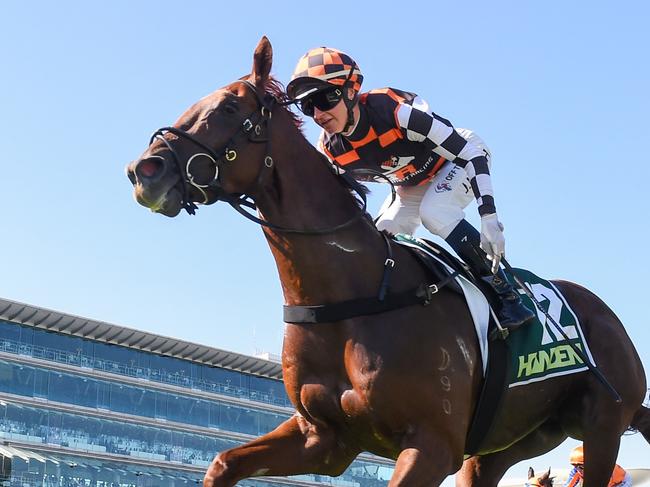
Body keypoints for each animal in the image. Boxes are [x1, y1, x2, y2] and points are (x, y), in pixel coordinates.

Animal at [126, 36, 648, 486]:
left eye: (230, 107)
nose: (144, 170)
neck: (353, 294)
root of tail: (605, 314)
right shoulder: (323, 440)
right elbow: (222, 463)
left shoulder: (432, 446)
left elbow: (466, 149)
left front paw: (493, 233)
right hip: (507, 444)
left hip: (603, 426)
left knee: (452, 188)